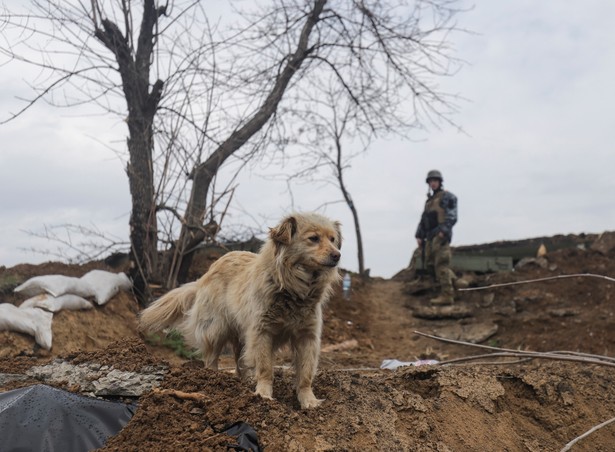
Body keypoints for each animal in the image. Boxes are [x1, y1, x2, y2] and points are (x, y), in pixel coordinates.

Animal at [139, 213, 342, 410]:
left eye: (333, 239)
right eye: (313, 238)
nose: (338, 255)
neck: (293, 288)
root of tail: (207, 272)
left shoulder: (307, 336)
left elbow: (305, 373)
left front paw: (309, 400)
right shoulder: (262, 332)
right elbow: (265, 368)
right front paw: (263, 394)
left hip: (241, 333)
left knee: (239, 360)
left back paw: (244, 382)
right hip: (216, 328)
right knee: (212, 357)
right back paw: (213, 379)